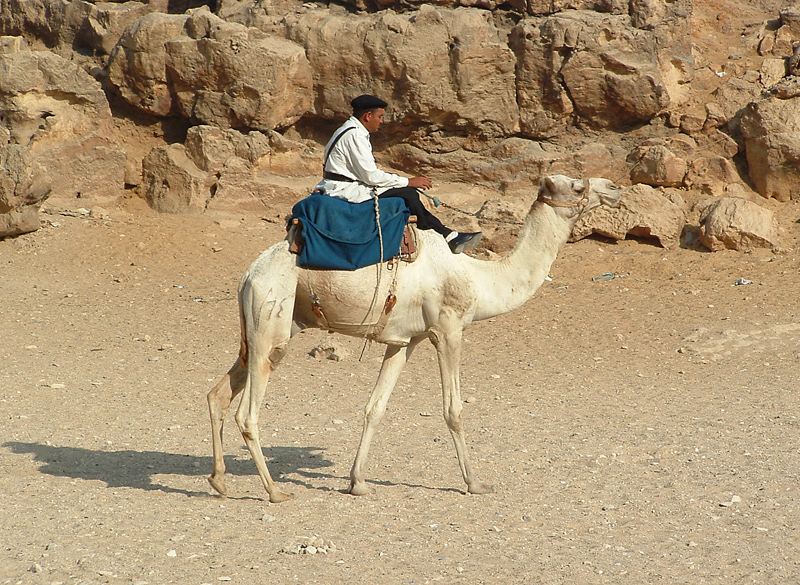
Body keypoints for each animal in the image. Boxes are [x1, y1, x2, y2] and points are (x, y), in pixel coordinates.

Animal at [205, 173, 620, 502]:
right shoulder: (448, 330)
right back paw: (274, 491)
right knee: (248, 412)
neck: (480, 278)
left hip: (266, 326)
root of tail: (248, 275)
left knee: (218, 394)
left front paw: (357, 482)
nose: (614, 188)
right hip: (271, 317)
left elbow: (375, 408)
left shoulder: (404, 340)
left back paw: (219, 480)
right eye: (577, 185)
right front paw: (475, 483)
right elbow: (453, 410)